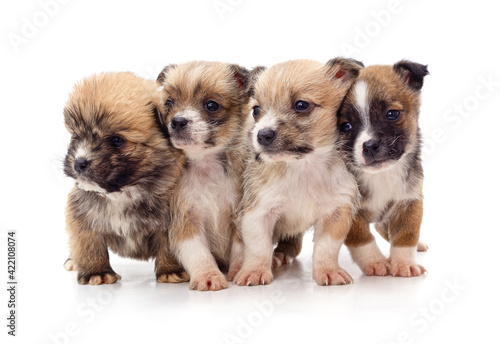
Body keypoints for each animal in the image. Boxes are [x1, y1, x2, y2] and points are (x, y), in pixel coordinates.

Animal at [63, 72, 186, 284]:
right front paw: (96, 272)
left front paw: (171, 270)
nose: (79, 162)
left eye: (117, 140)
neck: (123, 192)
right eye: (76, 135)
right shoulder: (83, 216)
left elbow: (170, 246)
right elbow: (89, 246)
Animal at [155, 61, 250, 290]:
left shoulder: (240, 217)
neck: (206, 164)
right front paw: (209, 276)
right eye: (169, 103)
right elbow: (199, 254)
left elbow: (241, 250)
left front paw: (237, 271)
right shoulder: (186, 222)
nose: (178, 121)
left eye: (211, 105)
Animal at [230, 58, 364, 284]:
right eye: (256, 110)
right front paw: (255, 271)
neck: (302, 166)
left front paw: (328, 270)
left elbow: (327, 248)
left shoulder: (335, 214)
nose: (262, 135)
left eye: (301, 105)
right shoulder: (257, 213)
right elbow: (258, 247)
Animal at [340, 60, 430, 278]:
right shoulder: (349, 214)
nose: (370, 145)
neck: (381, 175)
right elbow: (362, 239)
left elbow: (406, 236)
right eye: (345, 126)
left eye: (392, 114)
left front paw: (404, 263)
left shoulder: (410, 203)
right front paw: (375, 263)